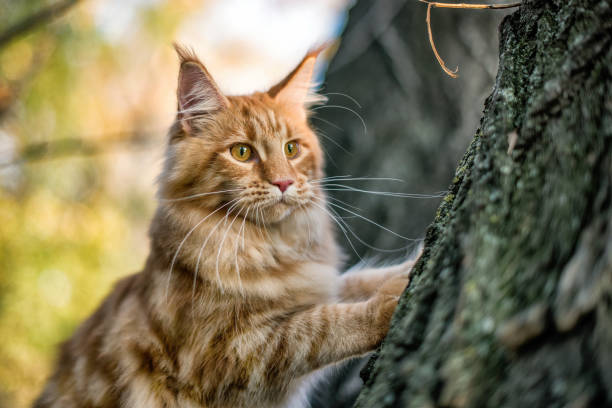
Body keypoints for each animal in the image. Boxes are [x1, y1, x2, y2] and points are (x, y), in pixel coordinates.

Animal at [33, 44, 416, 408]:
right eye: (242, 153)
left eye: (292, 149)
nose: (284, 183)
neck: (267, 245)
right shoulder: (225, 354)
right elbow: (320, 326)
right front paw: (390, 304)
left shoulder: (314, 284)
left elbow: (355, 281)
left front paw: (411, 266)